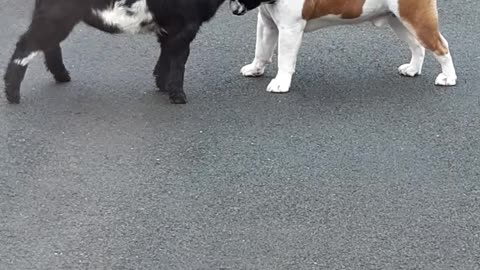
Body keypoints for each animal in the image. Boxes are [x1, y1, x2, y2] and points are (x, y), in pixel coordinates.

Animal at [3, 0, 226, 104]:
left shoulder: (169, 31)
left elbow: (166, 57)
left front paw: (162, 86)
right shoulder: (184, 28)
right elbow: (179, 61)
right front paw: (178, 97)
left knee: (49, 45)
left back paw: (62, 76)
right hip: (56, 16)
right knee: (26, 45)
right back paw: (12, 94)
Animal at [232, 0, 458, 93]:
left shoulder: (290, 29)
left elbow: (285, 61)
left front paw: (281, 84)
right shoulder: (267, 23)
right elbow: (261, 50)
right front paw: (255, 69)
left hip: (417, 19)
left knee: (441, 46)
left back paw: (448, 78)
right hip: (399, 21)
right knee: (417, 46)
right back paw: (412, 69)